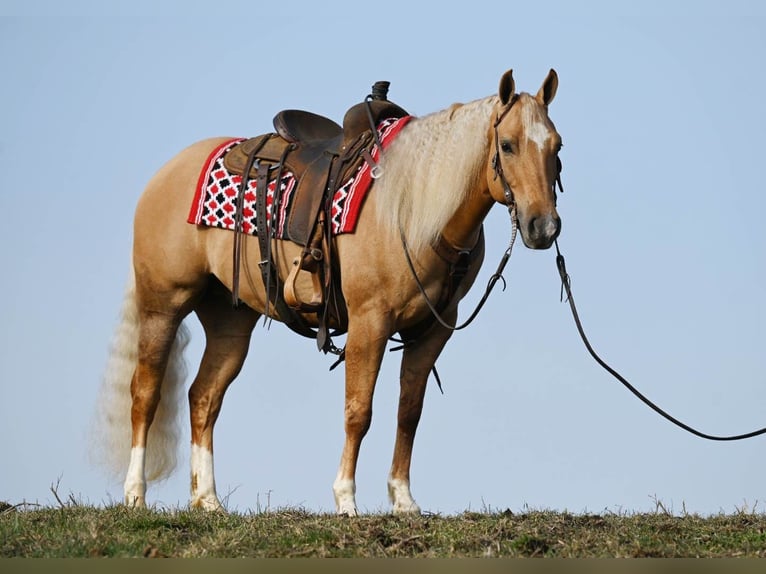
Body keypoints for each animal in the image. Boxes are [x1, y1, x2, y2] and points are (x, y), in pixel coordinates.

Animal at [91, 68, 564, 516]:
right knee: (145, 393)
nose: (543, 227)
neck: (411, 208)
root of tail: (165, 174)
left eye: (556, 147)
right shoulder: (370, 322)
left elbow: (409, 412)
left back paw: (207, 499)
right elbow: (359, 411)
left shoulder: (433, 329)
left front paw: (403, 499)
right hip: (163, 305)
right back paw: (135, 494)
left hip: (230, 319)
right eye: (507, 145)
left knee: (204, 397)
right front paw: (346, 499)